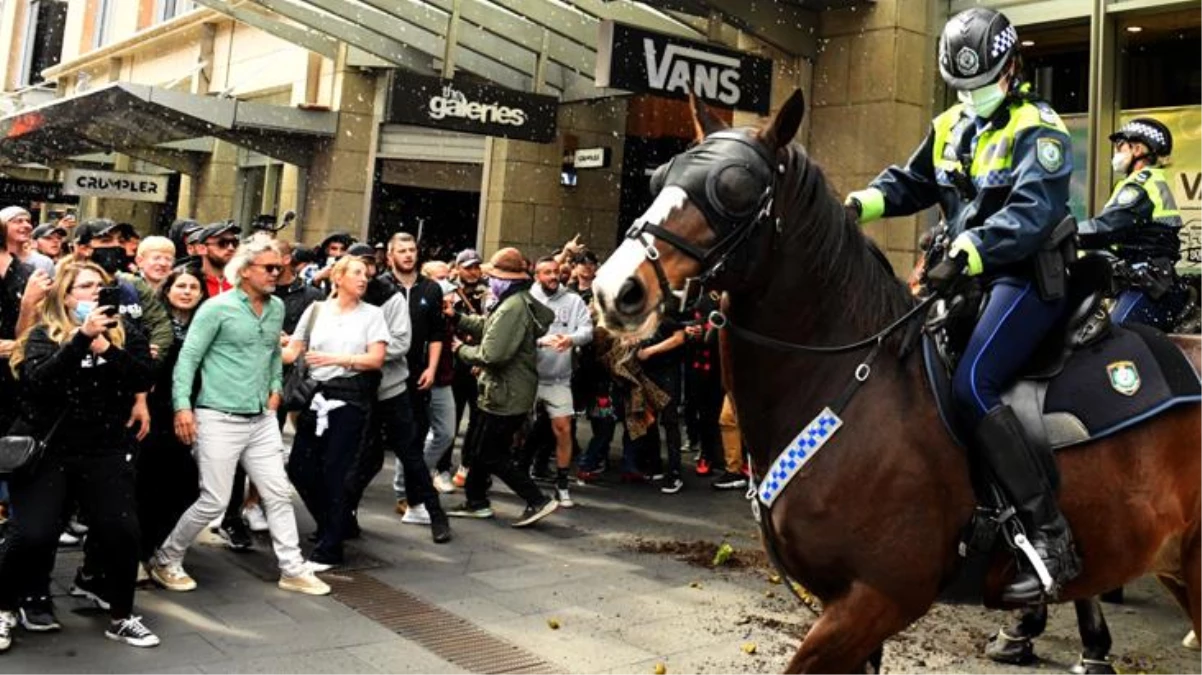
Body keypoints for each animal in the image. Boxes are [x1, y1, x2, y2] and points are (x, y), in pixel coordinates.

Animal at [591, 89, 1202, 672]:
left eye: (736, 188)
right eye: (661, 176)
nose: (615, 289)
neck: (848, 382)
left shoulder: (878, 599)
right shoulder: (846, 604)